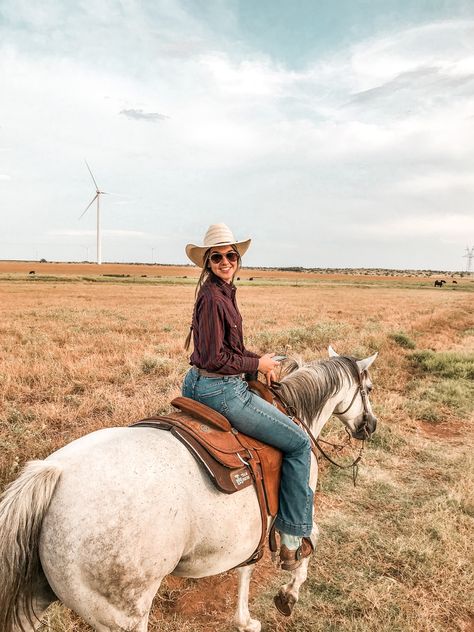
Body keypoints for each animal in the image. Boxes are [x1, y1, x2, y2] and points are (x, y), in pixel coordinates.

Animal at [0, 348, 378, 628]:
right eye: (370, 388)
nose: (371, 425)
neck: (295, 414)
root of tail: (55, 473)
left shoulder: (255, 525)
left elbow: (246, 567)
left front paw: (244, 620)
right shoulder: (296, 502)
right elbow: (306, 542)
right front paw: (288, 594)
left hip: (36, 595)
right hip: (124, 615)